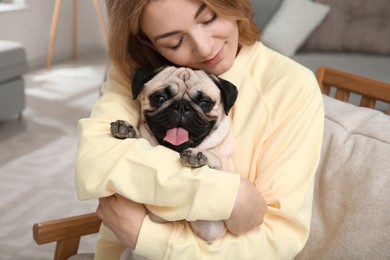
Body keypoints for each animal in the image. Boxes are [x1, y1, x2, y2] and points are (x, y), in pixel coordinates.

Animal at [109, 66, 238, 244]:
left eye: (204, 103)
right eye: (159, 98)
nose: (182, 106)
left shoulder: (211, 228)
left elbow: (218, 164)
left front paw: (201, 156)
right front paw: (128, 130)